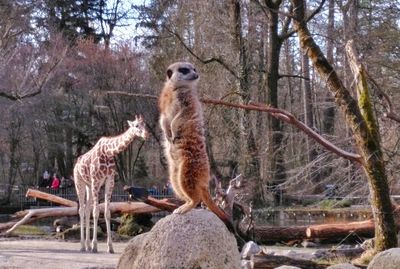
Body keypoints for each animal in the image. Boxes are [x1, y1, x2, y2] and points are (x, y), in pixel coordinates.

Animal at [73, 114, 147, 251]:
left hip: (88, 185)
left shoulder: (110, 180)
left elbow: (107, 213)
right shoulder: (96, 181)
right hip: (79, 182)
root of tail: (76, 164)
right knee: (81, 210)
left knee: (86, 209)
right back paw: (82, 246)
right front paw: (95, 246)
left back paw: (86, 245)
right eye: (136, 125)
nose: (146, 134)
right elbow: (96, 212)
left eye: (145, 125)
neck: (108, 152)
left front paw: (110, 247)